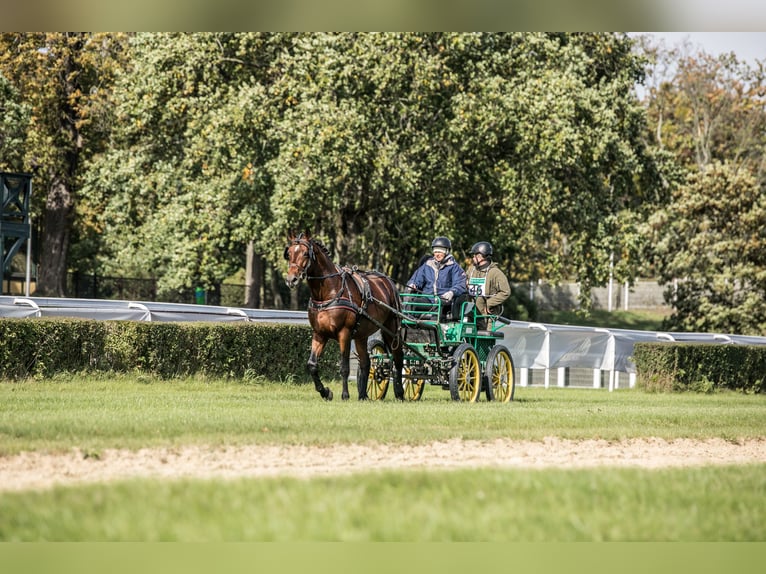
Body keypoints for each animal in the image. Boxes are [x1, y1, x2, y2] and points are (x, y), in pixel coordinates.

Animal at [284, 231, 405, 401]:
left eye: (306, 253)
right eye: (288, 254)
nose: (291, 279)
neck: (329, 292)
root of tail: (388, 282)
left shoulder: (344, 333)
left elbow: (344, 367)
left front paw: (345, 395)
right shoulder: (319, 334)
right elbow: (312, 364)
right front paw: (325, 392)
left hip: (391, 328)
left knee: (398, 357)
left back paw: (400, 393)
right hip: (361, 335)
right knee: (366, 362)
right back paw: (363, 395)